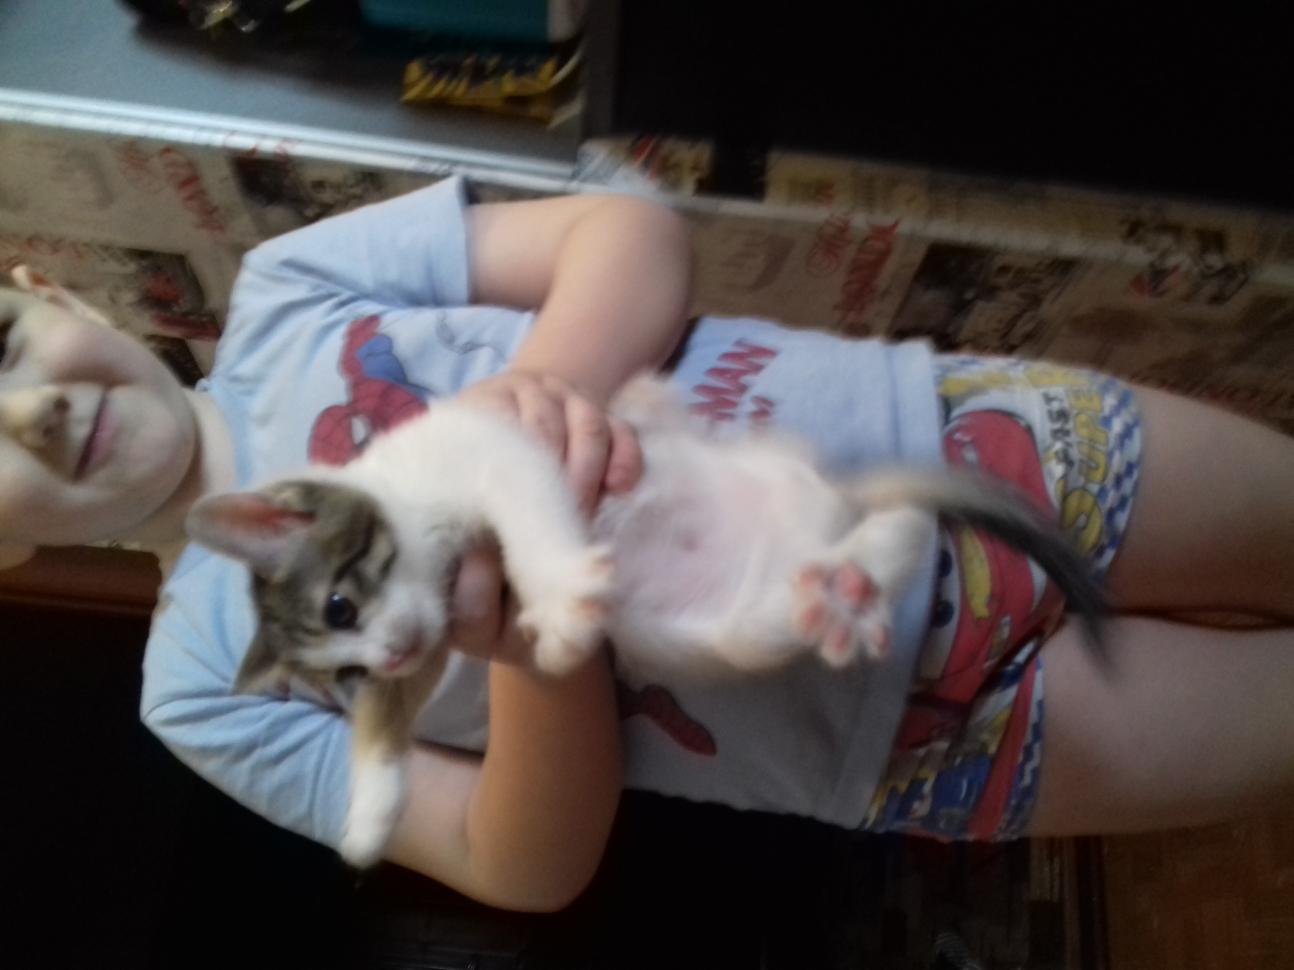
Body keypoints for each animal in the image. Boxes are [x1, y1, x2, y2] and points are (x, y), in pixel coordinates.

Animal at [186, 375, 1105, 866]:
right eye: (346, 669)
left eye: (340, 605)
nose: (384, 651)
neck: (409, 502)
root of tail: (827, 512)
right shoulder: (434, 625)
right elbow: (392, 713)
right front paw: (371, 812)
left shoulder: (498, 448)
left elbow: (528, 511)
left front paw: (559, 594)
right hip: (729, 630)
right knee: (852, 561)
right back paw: (840, 596)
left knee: (911, 520)